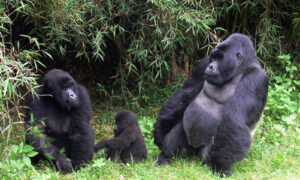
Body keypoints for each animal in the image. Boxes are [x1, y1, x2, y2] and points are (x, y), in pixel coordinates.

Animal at [154, 33, 268, 176]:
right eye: (213, 57)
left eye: (220, 57)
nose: (211, 66)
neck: (240, 68)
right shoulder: (203, 63)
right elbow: (184, 94)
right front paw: (160, 130)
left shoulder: (255, 78)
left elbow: (233, 120)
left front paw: (222, 166)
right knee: (180, 128)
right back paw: (165, 156)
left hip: (204, 156)